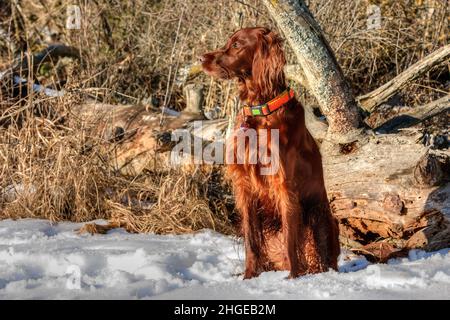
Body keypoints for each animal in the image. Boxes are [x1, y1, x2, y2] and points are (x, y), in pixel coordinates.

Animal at [199, 26, 340, 278]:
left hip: (321, 216)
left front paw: (292, 278)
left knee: (320, 260)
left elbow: (290, 240)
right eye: (228, 42)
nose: (200, 59)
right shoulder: (245, 185)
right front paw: (248, 277)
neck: (260, 112)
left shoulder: (284, 185)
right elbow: (251, 241)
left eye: (237, 45)